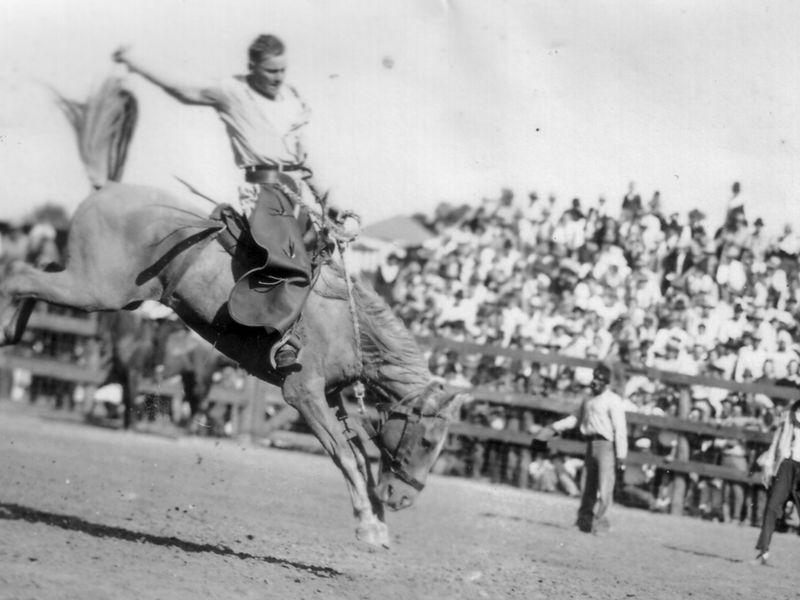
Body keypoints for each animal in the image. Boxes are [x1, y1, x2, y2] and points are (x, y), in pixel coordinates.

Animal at [0, 79, 466, 548]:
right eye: (428, 441)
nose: (403, 499)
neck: (346, 325)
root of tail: (107, 187)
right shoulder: (302, 392)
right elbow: (346, 456)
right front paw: (370, 524)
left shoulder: (331, 397)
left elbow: (360, 458)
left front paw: (377, 523)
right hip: (95, 289)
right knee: (18, 276)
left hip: (93, 284)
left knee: (35, 273)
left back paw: (10, 329)